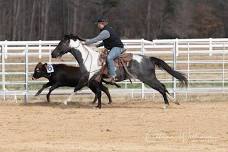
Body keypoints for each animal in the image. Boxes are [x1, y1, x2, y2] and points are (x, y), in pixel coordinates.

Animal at [52, 34, 189, 108]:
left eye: (62, 43)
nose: (53, 54)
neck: (89, 58)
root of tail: (149, 58)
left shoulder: (87, 78)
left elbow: (77, 88)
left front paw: (65, 102)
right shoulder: (95, 80)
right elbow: (99, 92)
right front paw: (98, 106)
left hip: (148, 79)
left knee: (161, 88)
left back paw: (166, 104)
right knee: (163, 87)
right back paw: (174, 101)